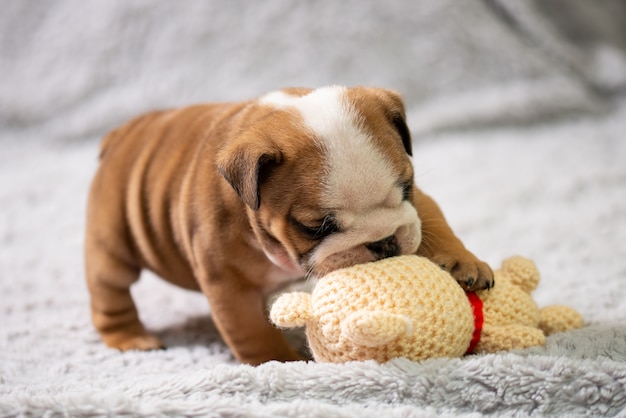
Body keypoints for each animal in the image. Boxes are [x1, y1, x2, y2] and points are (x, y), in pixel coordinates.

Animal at [84, 86, 492, 364]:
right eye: (316, 226)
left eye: (406, 187)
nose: (384, 242)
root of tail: (121, 135)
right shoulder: (228, 282)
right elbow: (252, 332)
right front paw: (283, 364)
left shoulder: (418, 203)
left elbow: (433, 221)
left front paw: (463, 262)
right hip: (111, 246)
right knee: (110, 293)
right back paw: (133, 340)